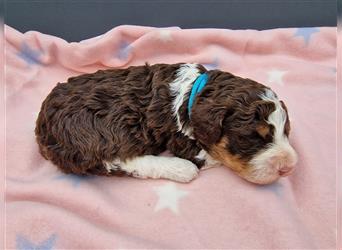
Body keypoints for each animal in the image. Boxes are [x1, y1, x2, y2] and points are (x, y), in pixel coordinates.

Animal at [34, 63, 296, 184]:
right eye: (252, 137)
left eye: (286, 132)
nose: (289, 168)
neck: (193, 92)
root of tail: (43, 124)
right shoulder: (180, 138)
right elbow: (213, 156)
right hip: (97, 132)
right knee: (116, 161)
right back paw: (181, 169)